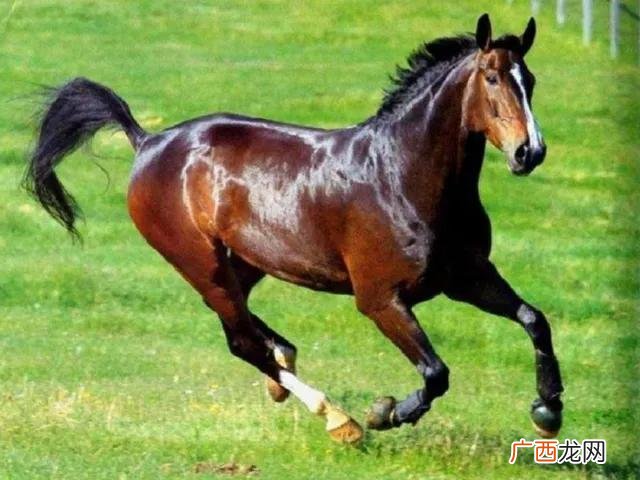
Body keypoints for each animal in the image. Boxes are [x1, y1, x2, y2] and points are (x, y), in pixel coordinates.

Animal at [25, 14, 563, 443]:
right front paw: (385, 413)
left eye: (531, 80)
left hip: (241, 262)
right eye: (491, 78)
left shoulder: (465, 277)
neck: (400, 176)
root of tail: (148, 141)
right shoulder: (380, 299)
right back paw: (338, 420)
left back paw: (284, 363)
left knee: (241, 327)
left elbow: (534, 319)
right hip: (200, 262)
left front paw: (548, 411)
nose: (529, 152)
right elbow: (436, 373)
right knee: (241, 339)